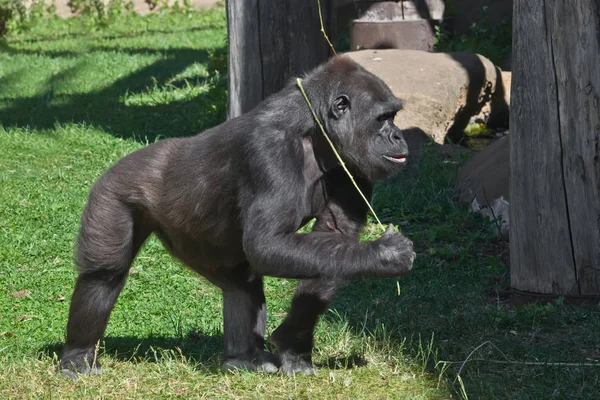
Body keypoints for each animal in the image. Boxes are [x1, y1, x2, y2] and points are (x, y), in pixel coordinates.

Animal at [62, 54, 418, 376]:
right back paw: (78, 356)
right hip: (115, 189)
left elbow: (335, 239)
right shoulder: (270, 151)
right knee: (103, 275)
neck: (315, 129)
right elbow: (268, 244)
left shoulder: (353, 168)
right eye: (382, 118)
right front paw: (385, 254)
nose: (398, 135)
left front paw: (293, 345)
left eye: (394, 116)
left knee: (240, 286)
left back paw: (243, 358)